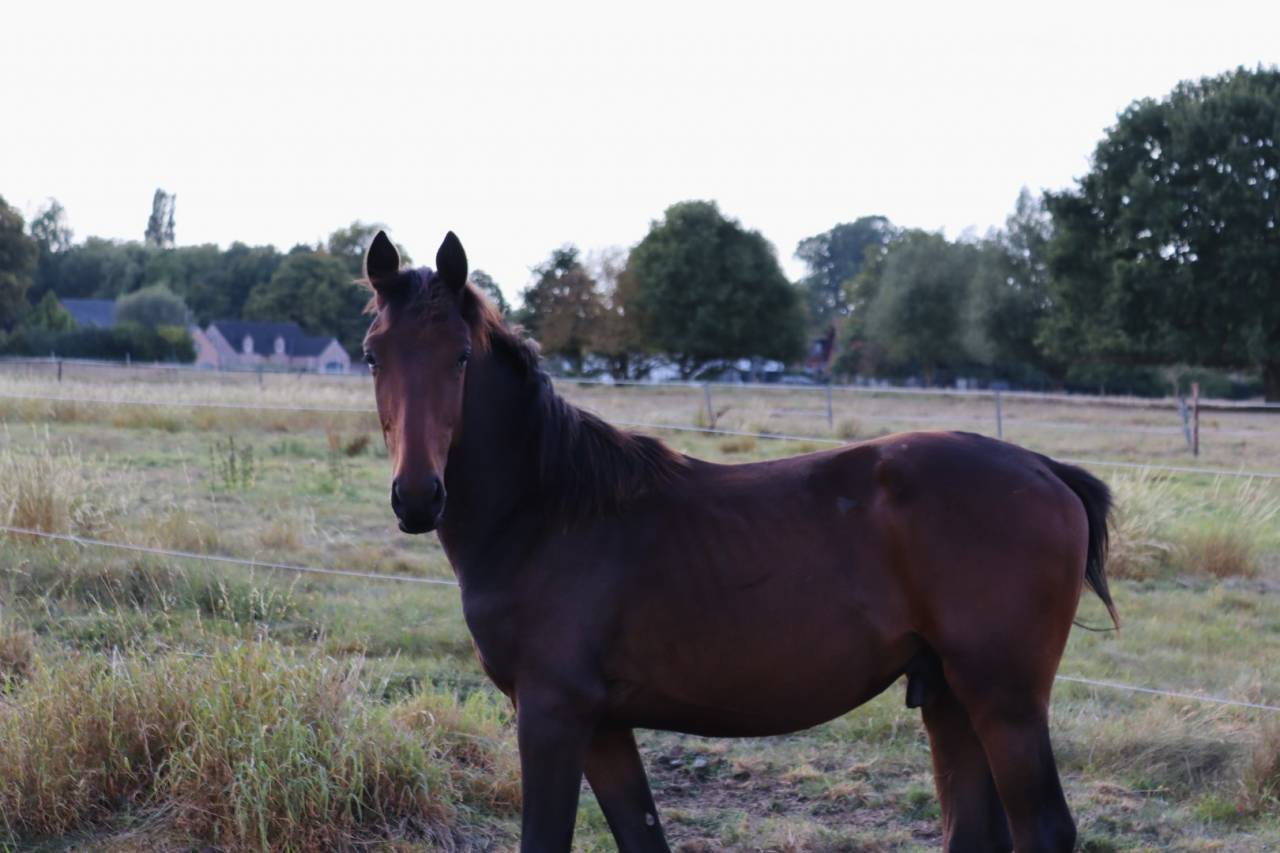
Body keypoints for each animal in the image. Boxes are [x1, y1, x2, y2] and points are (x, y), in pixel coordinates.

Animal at [361, 229, 1117, 853]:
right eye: (373, 356)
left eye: (461, 356)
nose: (418, 496)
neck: (546, 512)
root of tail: (1046, 470)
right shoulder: (603, 727)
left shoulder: (552, 715)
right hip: (950, 700)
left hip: (1004, 701)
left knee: (1044, 829)